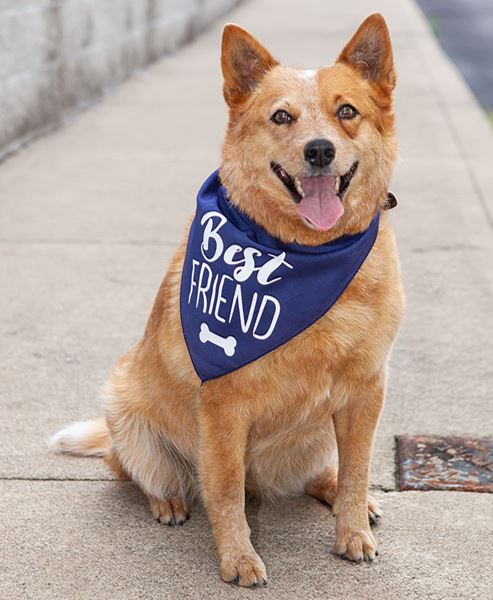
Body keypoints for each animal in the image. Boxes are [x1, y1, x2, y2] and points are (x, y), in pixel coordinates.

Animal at [50, 14, 404, 584]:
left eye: (347, 111)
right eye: (281, 115)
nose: (320, 150)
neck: (308, 252)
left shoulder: (367, 389)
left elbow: (357, 471)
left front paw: (353, 533)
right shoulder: (224, 405)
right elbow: (225, 489)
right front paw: (238, 558)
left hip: (320, 431)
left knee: (321, 473)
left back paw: (339, 492)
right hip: (125, 405)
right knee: (147, 474)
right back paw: (168, 500)